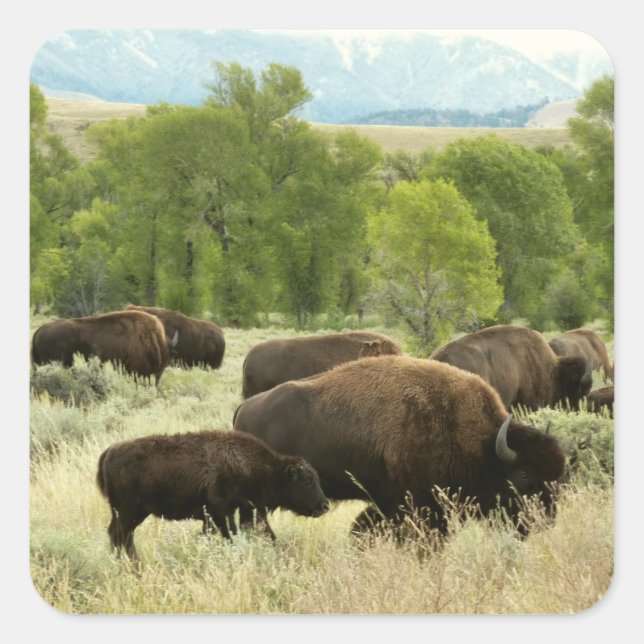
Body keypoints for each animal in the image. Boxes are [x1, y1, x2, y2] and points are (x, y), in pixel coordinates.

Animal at [96, 430, 329, 559]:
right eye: (308, 481)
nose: (324, 505)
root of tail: (109, 452)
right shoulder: (222, 511)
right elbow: (231, 535)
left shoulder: (233, 512)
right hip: (129, 511)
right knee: (120, 535)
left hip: (132, 513)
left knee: (119, 535)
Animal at [234, 355, 566, 537]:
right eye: (523, 475)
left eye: (558, 477)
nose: (546, 521)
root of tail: (244, 408)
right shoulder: (419, 503)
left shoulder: (390, 501)